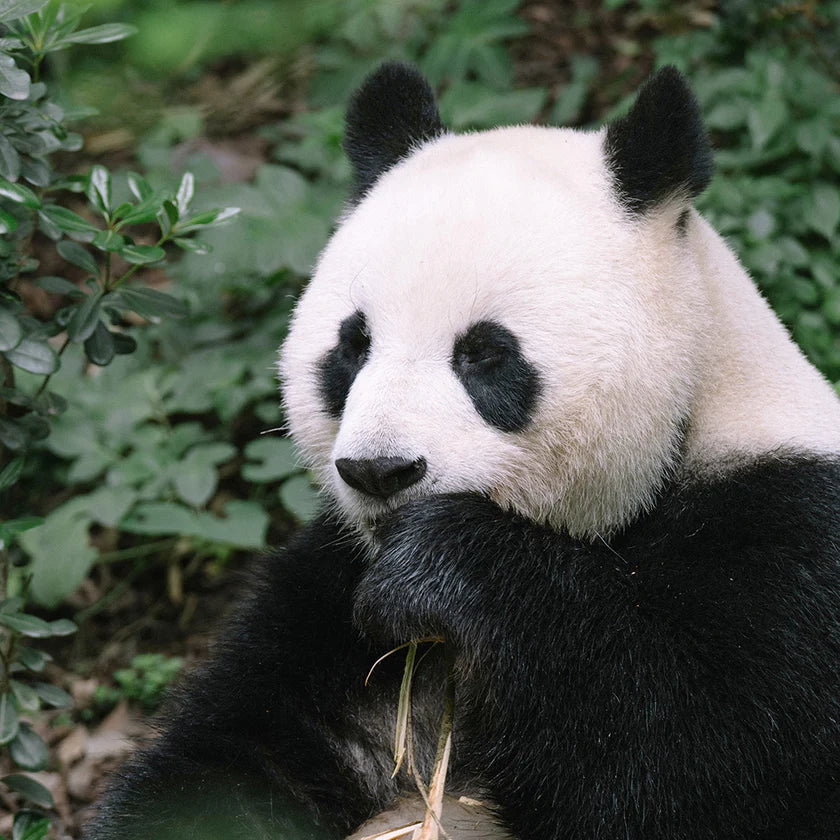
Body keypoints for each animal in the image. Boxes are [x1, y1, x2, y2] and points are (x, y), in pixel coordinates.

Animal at [85, 63, 840, 840]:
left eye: (483, 353)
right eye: (353, 345)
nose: (379, 471)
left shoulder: (788, 536)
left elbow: (697, 754)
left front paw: (440, 569)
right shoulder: (326, 594)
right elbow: (228, 761)